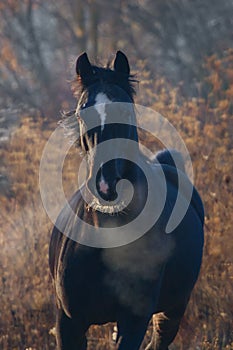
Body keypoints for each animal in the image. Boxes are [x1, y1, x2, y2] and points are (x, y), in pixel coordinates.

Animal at [49, 50, 204, 348]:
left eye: (124, 110)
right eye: (83, 112)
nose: (105, 185)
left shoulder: (134, 320)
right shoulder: (68, 321)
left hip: (172, 311)